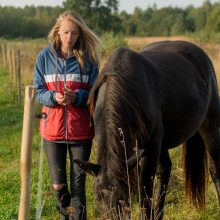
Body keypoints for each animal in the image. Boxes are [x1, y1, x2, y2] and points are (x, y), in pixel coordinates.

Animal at [74, 40, 220, 219]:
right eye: (97, 199)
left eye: (124, 199)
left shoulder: (149, 151)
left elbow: (144, 193)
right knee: (165, 169)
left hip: (210, 128)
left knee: (214, 168)